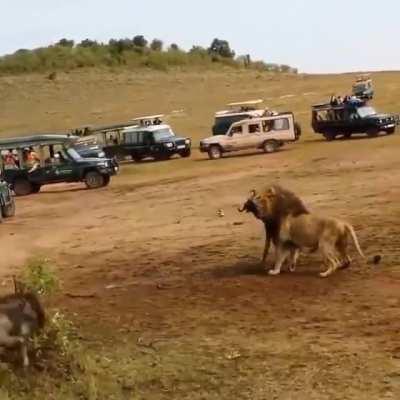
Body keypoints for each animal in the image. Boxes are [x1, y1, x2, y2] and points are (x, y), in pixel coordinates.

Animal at [239, 185, 368, 276]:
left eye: (259, 197)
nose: (250, 203)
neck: (277, 212)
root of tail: (343, 223)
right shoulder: (292, 244)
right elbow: (292, 256)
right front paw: (291, 267)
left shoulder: (282, 242)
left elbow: (279, 258)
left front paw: (274, 271)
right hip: (340, 245)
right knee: (347, 259)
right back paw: (340, 267)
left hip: (324, 245)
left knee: (335, 262)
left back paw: (324, 274)